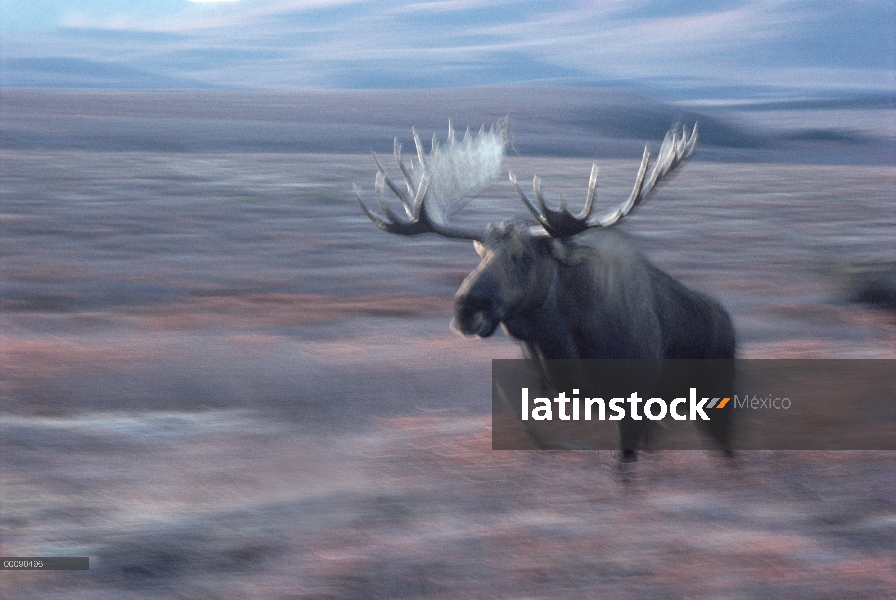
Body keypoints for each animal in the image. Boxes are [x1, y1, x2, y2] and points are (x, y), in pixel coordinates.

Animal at [356, 119, 736, 462]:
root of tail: (728, 320)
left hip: (716, 397)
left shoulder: (635, 401)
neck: (567, 345)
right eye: (480, 253)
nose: (464, 308)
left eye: (524, 256)